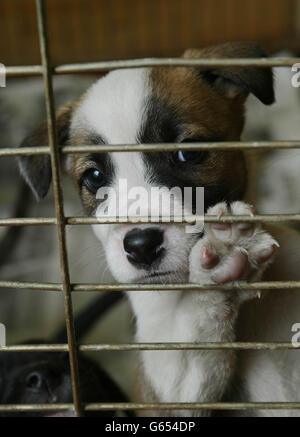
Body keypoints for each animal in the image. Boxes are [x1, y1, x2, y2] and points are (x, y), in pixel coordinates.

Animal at [17, 41, 300, 416]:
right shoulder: (162, 398)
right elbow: (193, 340)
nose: (140, 246)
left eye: (187, 154)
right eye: (94, 176)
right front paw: (223, 258)